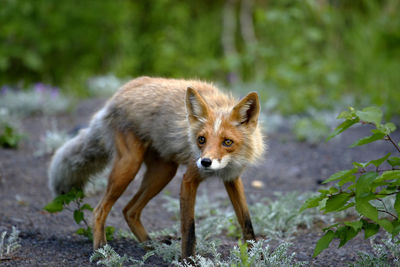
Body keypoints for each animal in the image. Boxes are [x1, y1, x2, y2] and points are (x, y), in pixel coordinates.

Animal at [47, 77, 266, 260]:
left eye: (227, 142)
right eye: (201, 140)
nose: (205, 162)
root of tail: (116, 96)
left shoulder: (232, 178)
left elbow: (246, 222)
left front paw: (257, 256)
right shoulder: (189, 179)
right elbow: (189, 230)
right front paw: (188, 261)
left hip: (163, 172)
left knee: (129, 210)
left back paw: (152, 247)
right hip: (129, 166)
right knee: (100, 210)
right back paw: (102, 250)